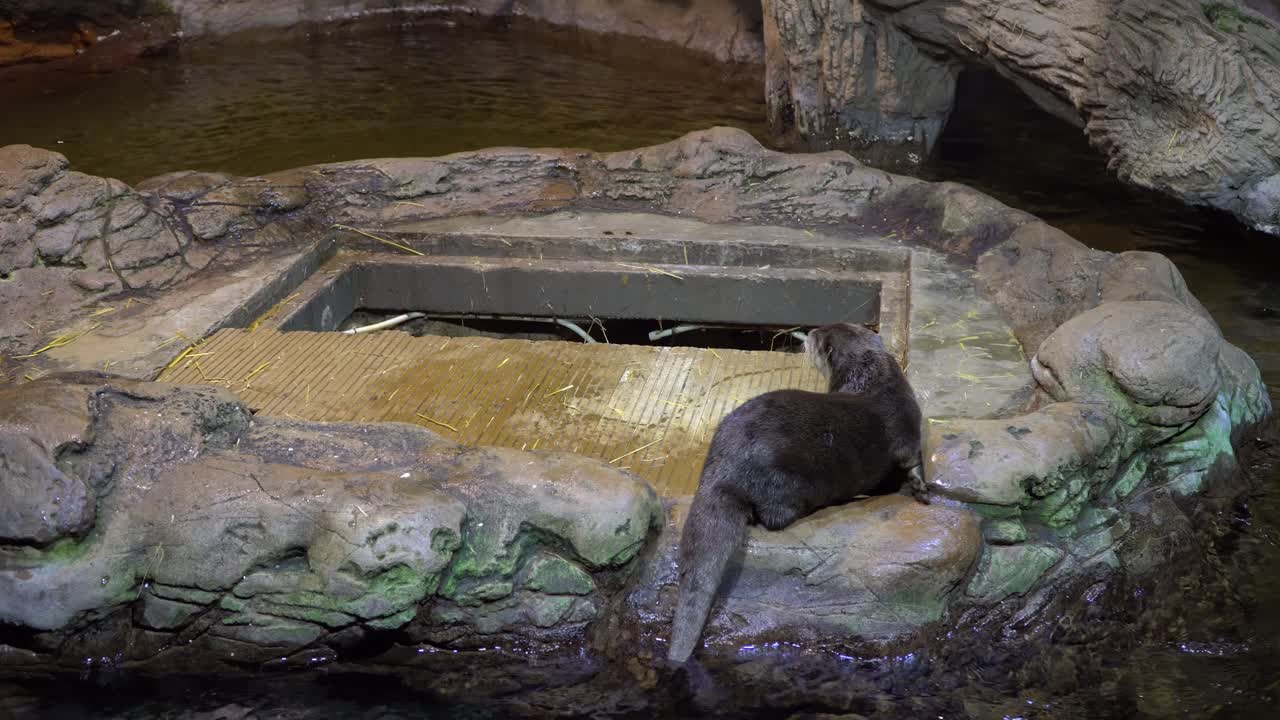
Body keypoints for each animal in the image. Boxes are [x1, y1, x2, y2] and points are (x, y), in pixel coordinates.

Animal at [666, 322, 926, 664]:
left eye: (821, 335)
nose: (811, 331)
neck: (877, 380)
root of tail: (724, 464)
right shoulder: (907, 433)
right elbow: (912, 459)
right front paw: (920, 489)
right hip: (786, 484)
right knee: (774, 517)